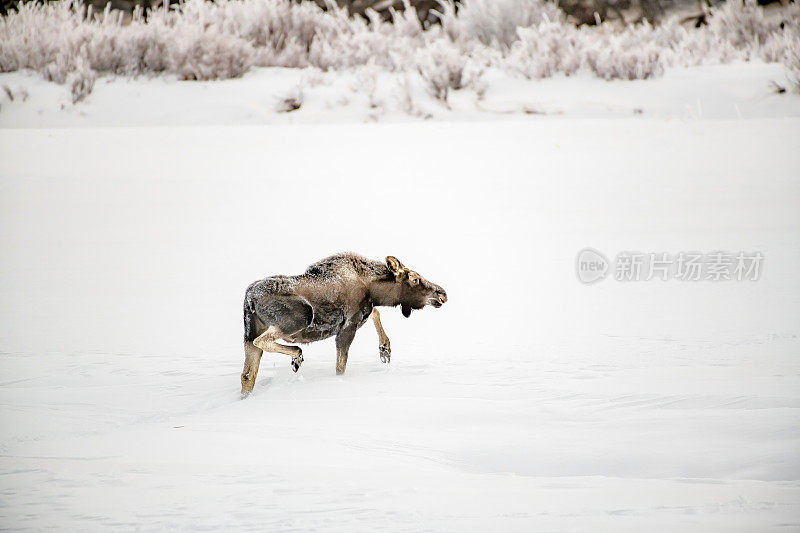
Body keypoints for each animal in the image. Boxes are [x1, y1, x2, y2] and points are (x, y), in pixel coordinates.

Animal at [241, 252, 446, 394]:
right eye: (415, 279)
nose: (442, 293)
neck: (375, 291)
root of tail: (249, 298)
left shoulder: (365, 311)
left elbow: (375, 312)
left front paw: (385, 348)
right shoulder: (348, 326)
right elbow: (340, 367)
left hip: (250, 331)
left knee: (247, 376)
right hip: (300, 316)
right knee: (262, 341)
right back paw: (296, 356)